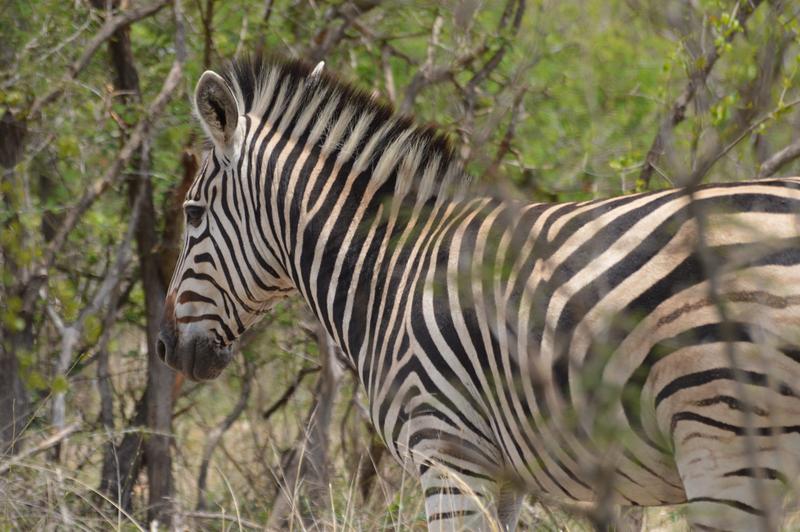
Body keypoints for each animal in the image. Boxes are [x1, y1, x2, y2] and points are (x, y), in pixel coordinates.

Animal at [156, 56, 800, 528]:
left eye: (192, 214)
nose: (163, 348)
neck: (392, 271)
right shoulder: (507, 475)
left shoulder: (446, 455)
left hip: (724, 441)